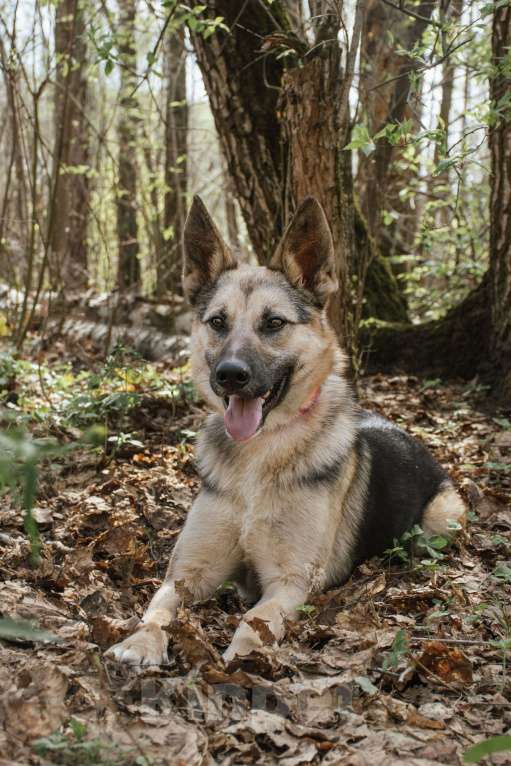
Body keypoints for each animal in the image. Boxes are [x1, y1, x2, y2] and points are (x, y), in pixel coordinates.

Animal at [108, 196, 468, 664]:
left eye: (274, 323)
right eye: (218, 322)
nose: (230, 375)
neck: (259, 456)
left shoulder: (289, 581)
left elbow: (252, 621)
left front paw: (241, 659)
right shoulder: (187, 574)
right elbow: (156, 609)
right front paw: (140, 641)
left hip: (441, 521)